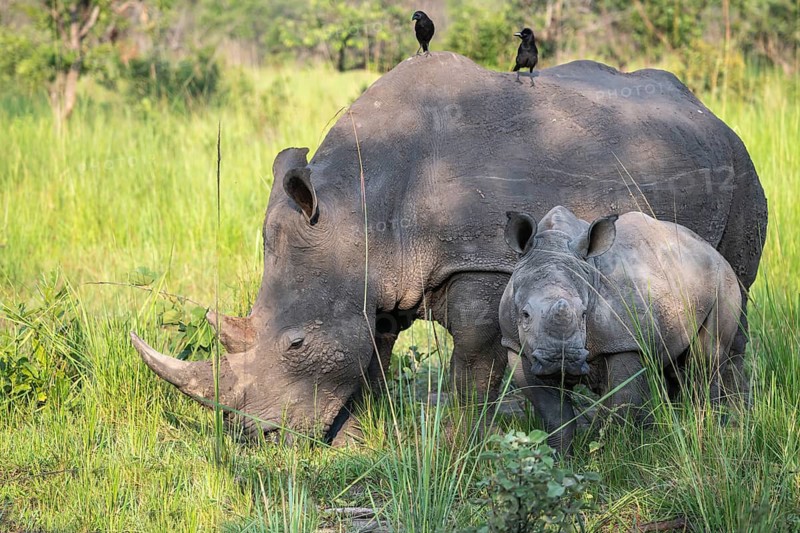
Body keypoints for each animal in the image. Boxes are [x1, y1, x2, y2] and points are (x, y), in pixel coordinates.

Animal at [499, 206, 742, 453]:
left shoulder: (624, 343)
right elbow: (555, 415)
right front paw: (559, 456)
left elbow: (616, 409)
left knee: (706, 360)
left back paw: (708, 425)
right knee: (671, 365)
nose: (561, 359)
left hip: (723, 280)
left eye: (584, 314)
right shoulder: (516, 346)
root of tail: (710, 249)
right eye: (525, 315)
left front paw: (605, 454)